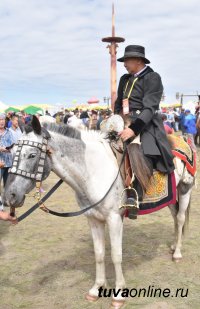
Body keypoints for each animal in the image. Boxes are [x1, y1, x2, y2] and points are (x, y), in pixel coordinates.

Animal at [2, 116, 195, 308]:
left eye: (32, 155)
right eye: (12, 153)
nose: (9, 196)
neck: (93, 171)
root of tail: (183, 139)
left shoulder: (114, 219)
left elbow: (116, 255)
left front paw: (118, 295)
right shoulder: (93, 219)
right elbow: (99, 254)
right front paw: (96, 289)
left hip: (185, 189)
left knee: (180, 218)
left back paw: (177, 253)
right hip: (171, 197)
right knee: (174, 217)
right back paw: (173, 245)